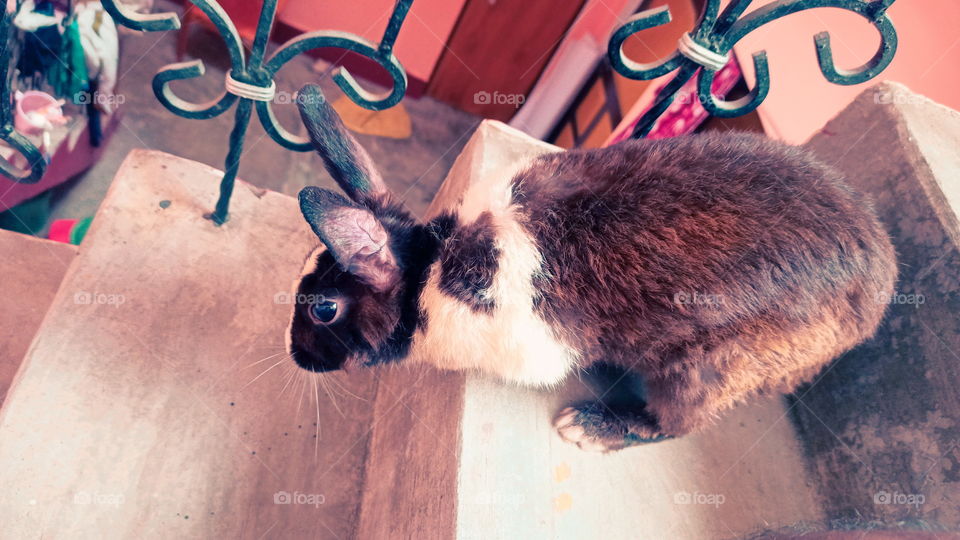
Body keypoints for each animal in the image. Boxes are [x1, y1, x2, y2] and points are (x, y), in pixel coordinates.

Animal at [286, 83, 897, 452]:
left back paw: (591, 426)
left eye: (324, 310)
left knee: (674, 426)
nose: (297, 357)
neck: (430, 271)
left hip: (709, 369)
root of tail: (876, 297)